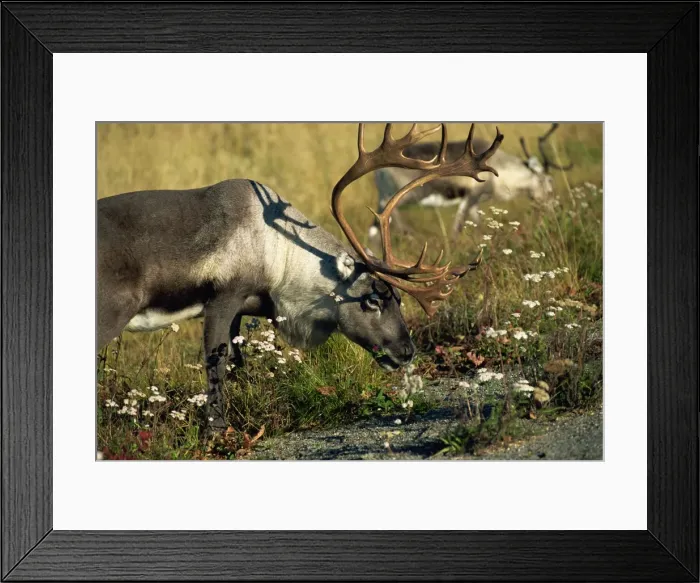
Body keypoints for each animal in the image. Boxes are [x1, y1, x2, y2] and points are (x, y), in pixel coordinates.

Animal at [97, 123, 504, 432]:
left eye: (400, 298)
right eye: (372, 299)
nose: (406, 352)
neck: (279, 251)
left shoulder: (243, 309)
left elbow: (240, 361)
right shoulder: (222, 298)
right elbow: (217, 361)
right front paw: (218, 428)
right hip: (111, 312)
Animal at [369, 123, 573, 243]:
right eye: (549, 182)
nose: (554, 210)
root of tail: (379, 170)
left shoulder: (474, 204)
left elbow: (479, 226)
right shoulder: (471, 198)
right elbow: (456, 228)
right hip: (404, 197)